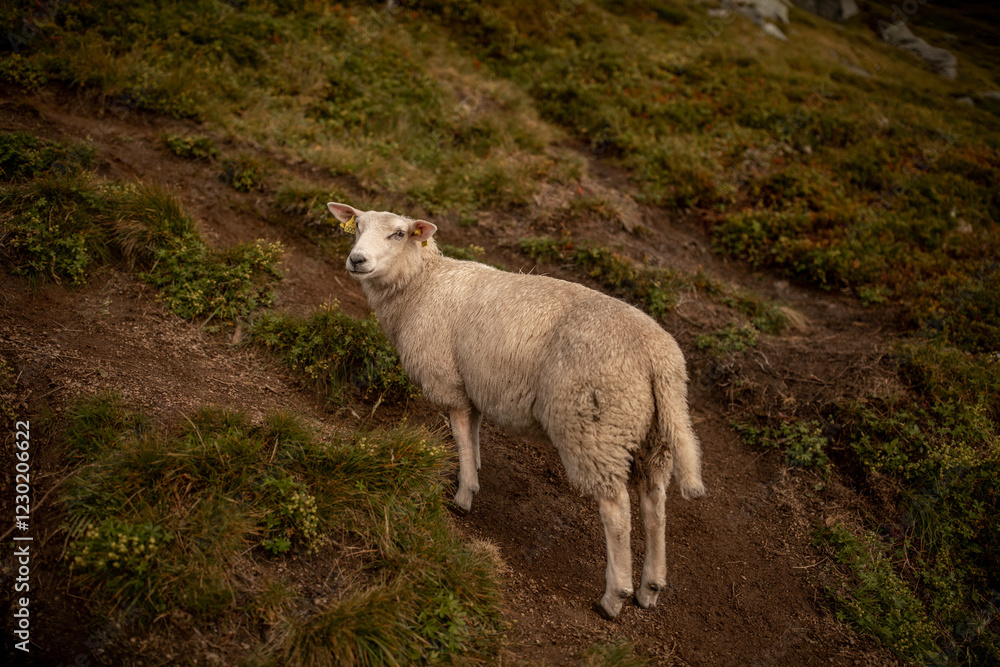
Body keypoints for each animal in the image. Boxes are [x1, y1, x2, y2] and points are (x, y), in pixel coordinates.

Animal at [327, 202, 706, 620]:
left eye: (398, 234)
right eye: (356, 227)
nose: (357, 260)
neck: (422, 285)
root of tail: (658, 357)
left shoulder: (448, 379)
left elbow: (460, 433)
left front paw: (464, 495)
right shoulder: (472, 381)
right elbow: (474, 431)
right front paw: (474, 467)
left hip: (595, 429)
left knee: (617, 511)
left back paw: (614, 597)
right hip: (653, 435)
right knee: (655, 505)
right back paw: (650, 587)